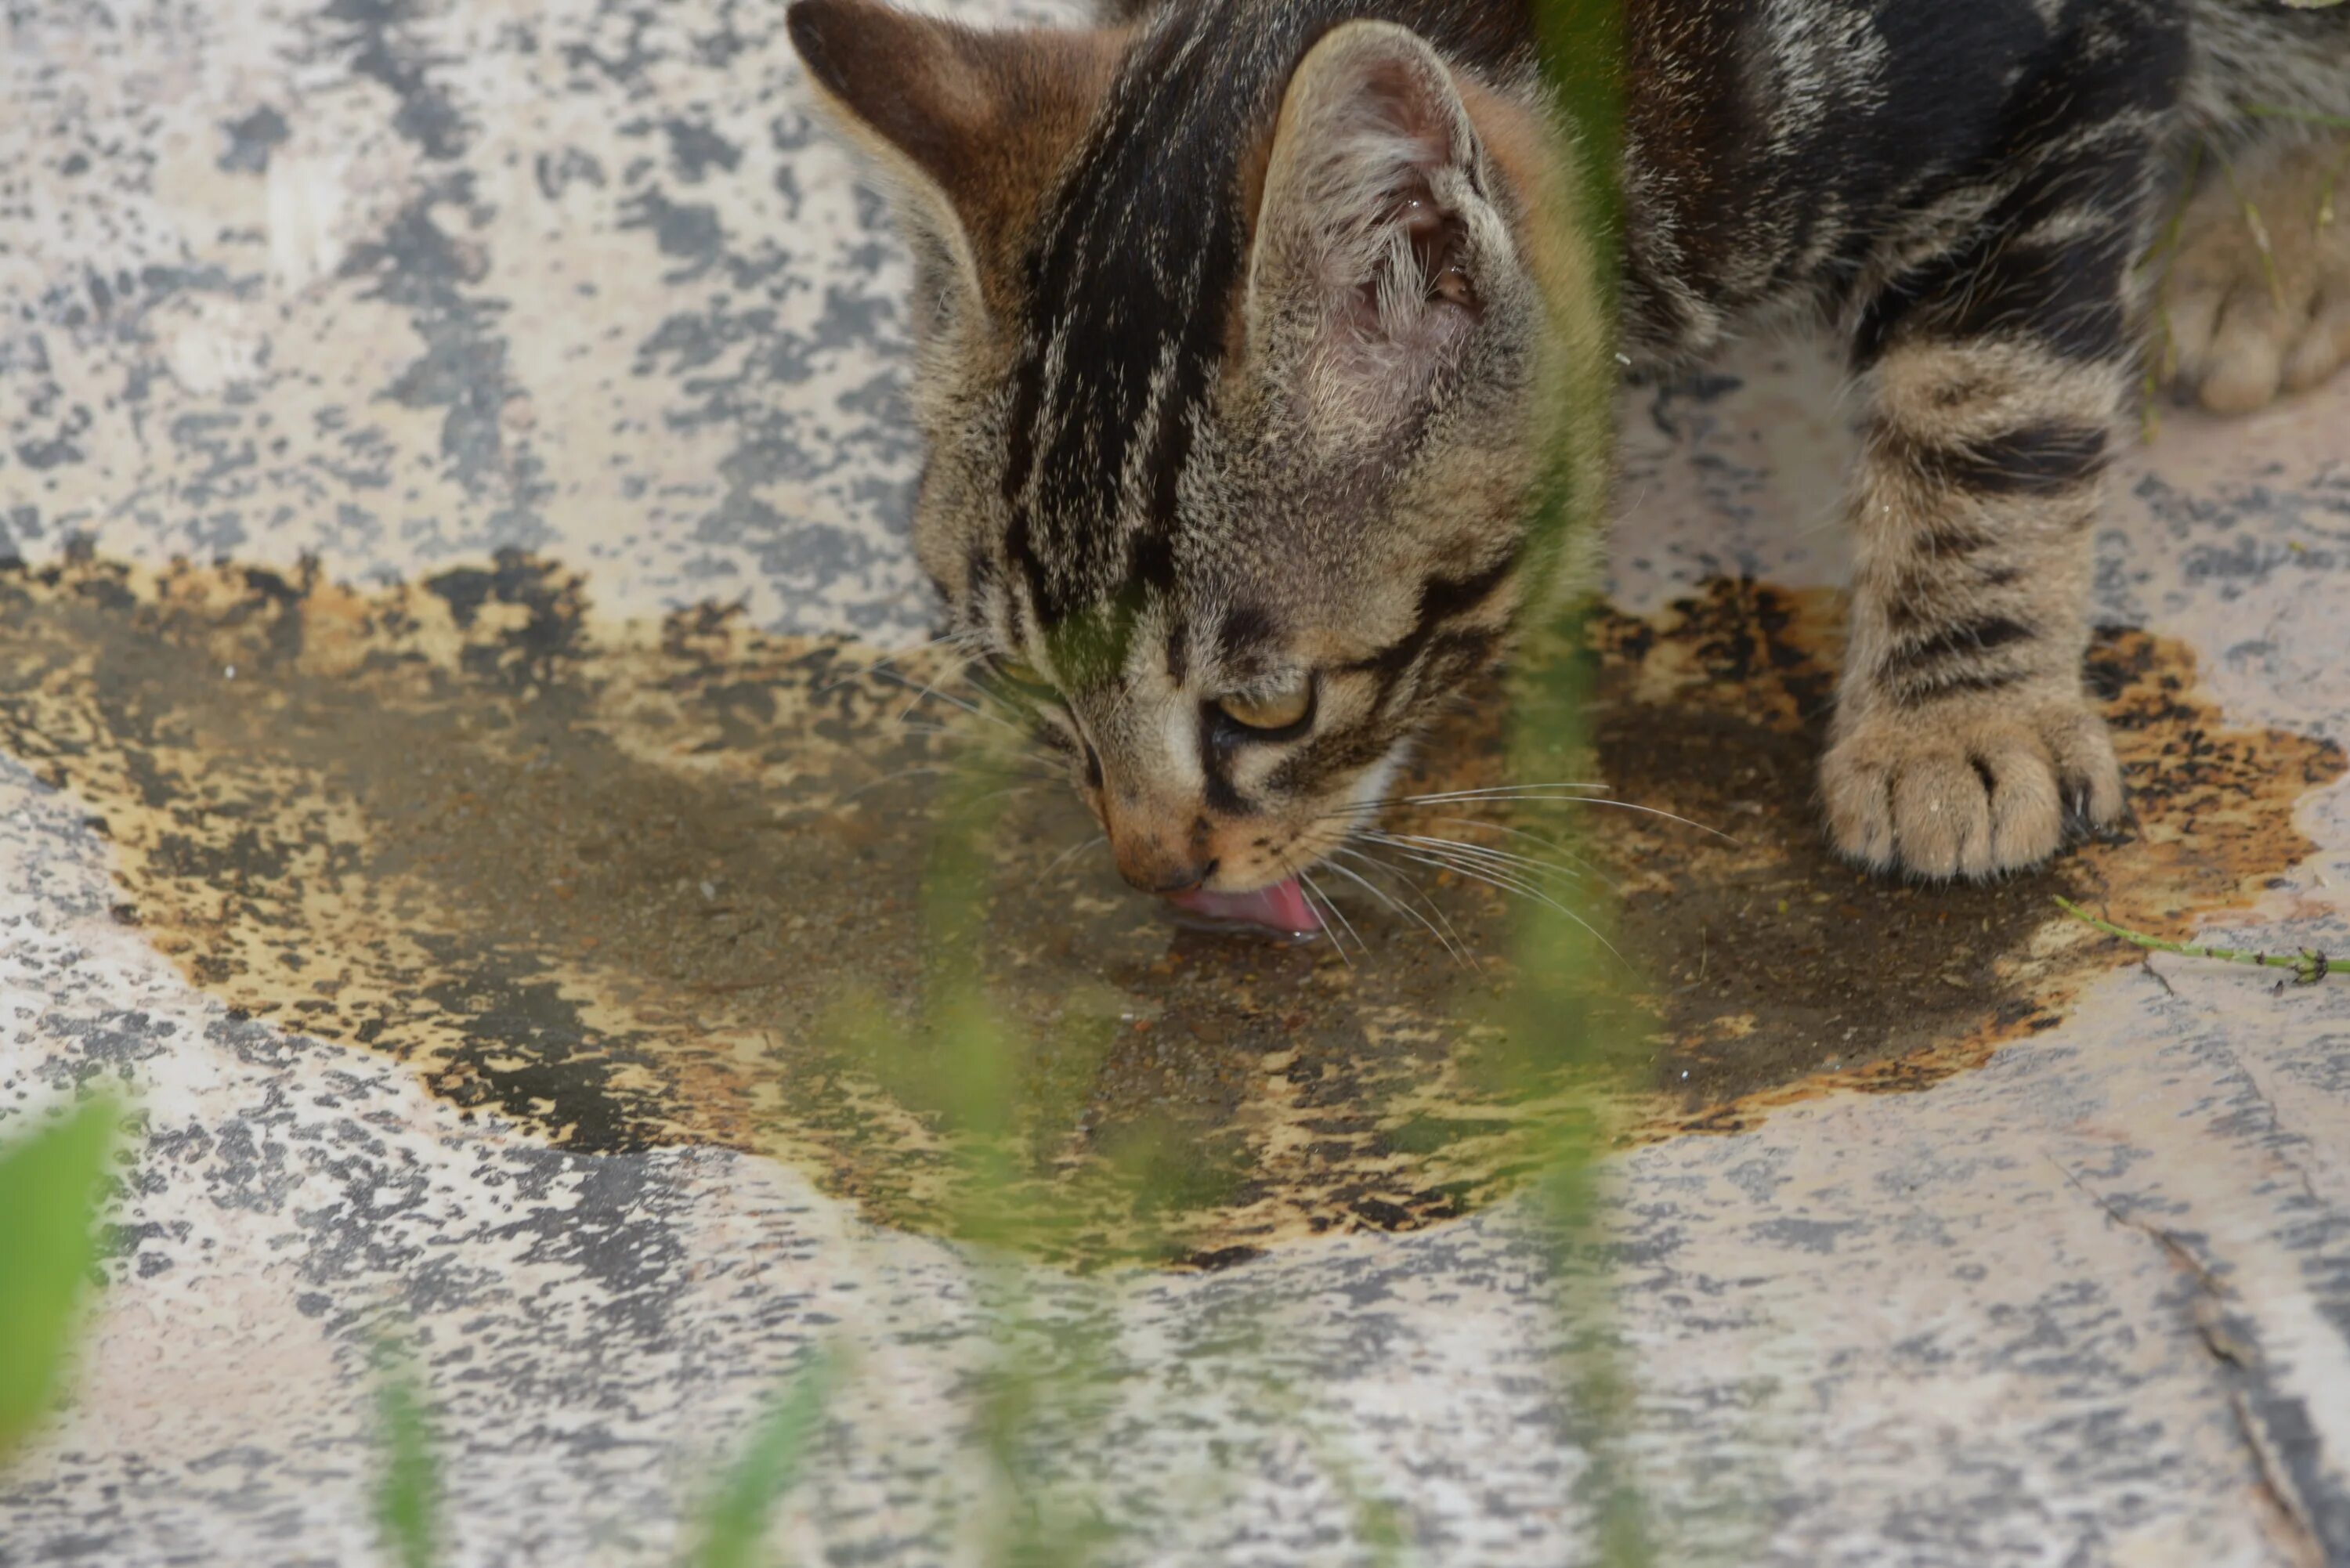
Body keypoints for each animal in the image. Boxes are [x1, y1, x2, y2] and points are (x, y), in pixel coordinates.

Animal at [794, 0, 2350, 926]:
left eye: (1271, 707)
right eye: (1030, 685)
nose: (1156, 873)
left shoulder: (2049, 66)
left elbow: (1990, 392)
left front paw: (1954, 723)